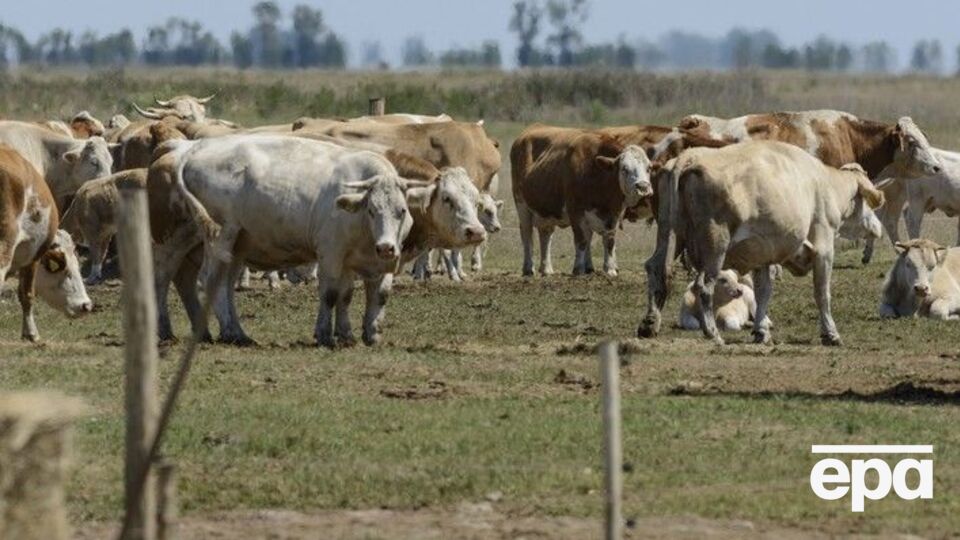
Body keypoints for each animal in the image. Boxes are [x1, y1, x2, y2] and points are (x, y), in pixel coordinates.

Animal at [641, 141, 885, 346]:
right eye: (866, 203)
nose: (878, 227)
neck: (825, 184)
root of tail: (688, 157)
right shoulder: (824, 249)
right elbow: (822, 293)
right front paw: (830, 333)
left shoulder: (762, 257)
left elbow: (763, 293)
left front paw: (760, 331)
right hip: (715, 246)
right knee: (704, 286)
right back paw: (712, 333)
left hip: (670, 234)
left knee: (655, 268)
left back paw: (650, 323)